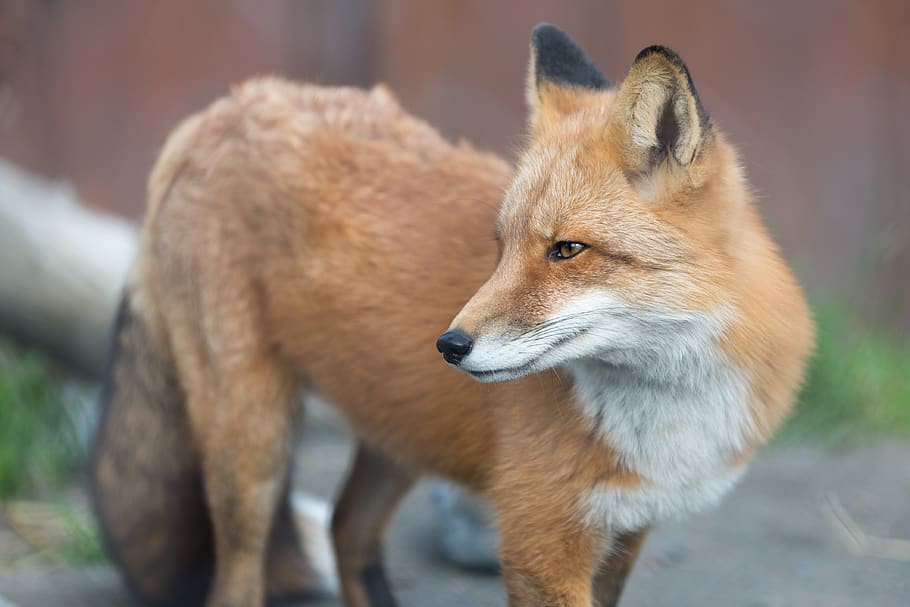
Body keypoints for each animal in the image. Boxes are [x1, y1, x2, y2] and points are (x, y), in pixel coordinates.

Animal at [93, 23, 813, 607]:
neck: (670, 406)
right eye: (502, 246)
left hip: (397, 426)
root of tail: (224, 106)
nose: (451, 344)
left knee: (346, 529)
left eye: (567, 250)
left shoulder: (624, 529)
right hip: (252, 448)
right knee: (238, 581)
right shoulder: (540, 541)